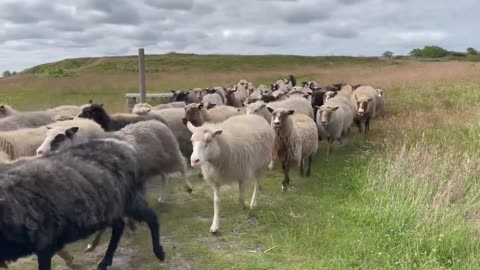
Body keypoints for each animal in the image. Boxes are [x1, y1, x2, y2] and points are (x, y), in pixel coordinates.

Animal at [0, 138, 165, 268]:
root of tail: (125, 146)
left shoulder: (45, 244)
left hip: (131, 199)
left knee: (151, 217)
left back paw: (159, 252)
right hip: (110, 206)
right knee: (119, 226)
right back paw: (105, 262)